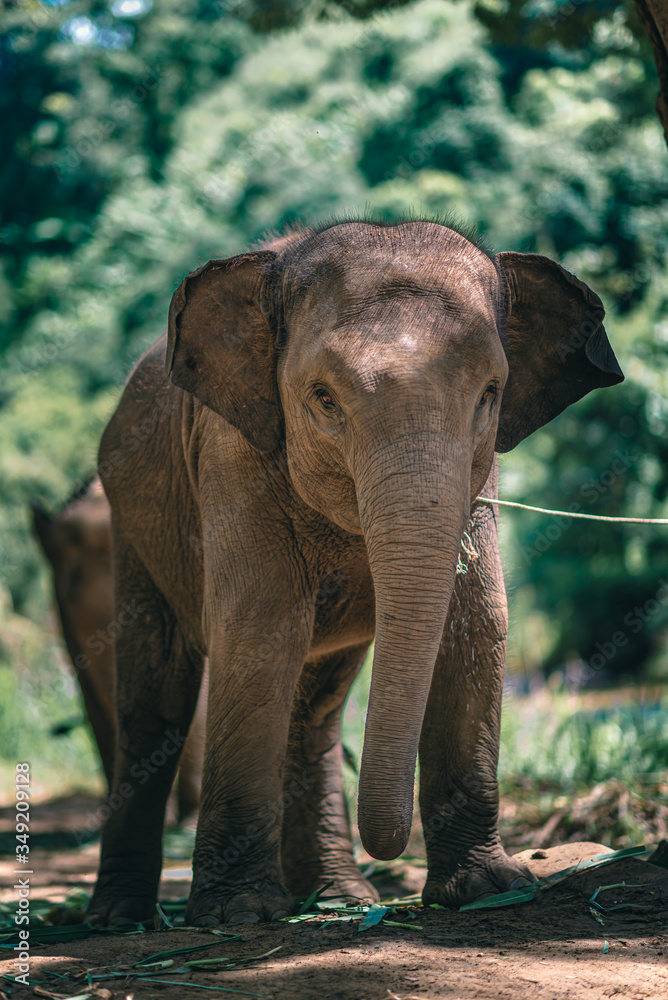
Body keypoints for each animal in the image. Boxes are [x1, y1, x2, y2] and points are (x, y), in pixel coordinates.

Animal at [87, 219, 623, 927]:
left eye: (490, 396)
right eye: (323, 399)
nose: (393, 848)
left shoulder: (479, 478)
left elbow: (478, 623)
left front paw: (488, 890)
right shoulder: (232, 456)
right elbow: (260, 631)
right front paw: (238, 916)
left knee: (315, 708)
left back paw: (338, 898)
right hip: (133, 521)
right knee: (157, 701)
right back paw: (120, 918)